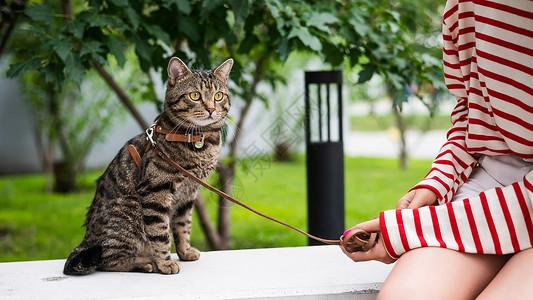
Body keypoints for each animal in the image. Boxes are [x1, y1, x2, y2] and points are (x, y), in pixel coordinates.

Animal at [62, 56, 233, 274]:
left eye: (219, 96)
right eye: (195, 95)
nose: (211, 109)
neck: (199, 142)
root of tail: (86, 241)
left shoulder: (188, 194)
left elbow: (183, 225)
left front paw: (185, 252)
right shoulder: (155, 192)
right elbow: (160, 232)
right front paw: (165, 262)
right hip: (129, 213)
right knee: (109, 260)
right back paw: (144, 262)